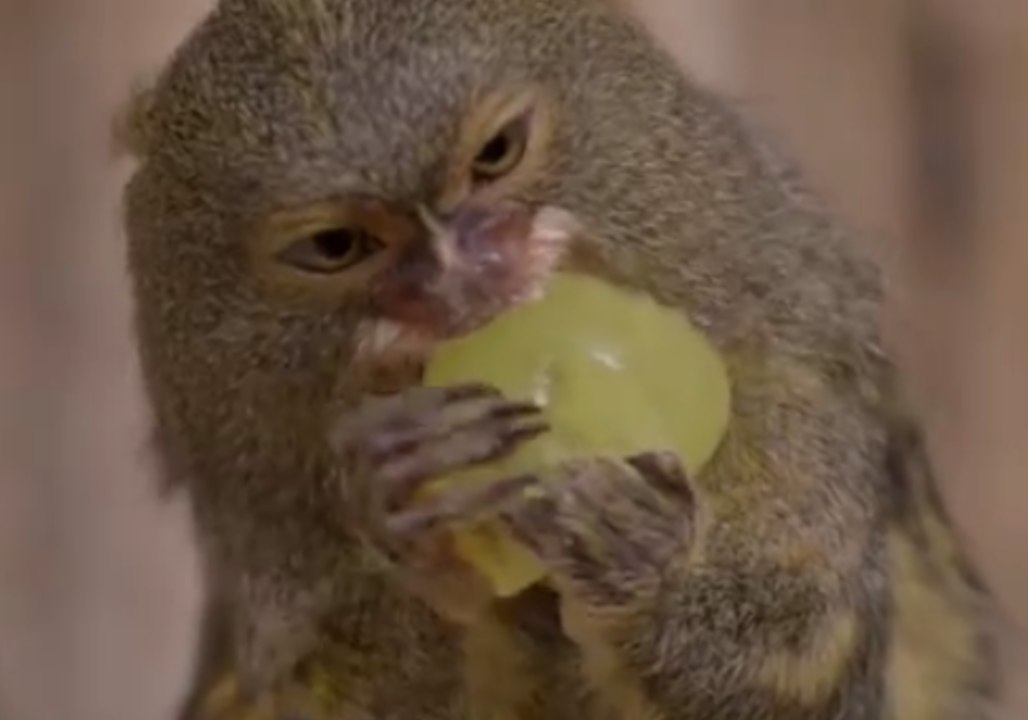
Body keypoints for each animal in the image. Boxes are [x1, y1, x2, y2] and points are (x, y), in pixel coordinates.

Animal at [118, 0, 998, 718]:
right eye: (337, 246)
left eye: (496, 154)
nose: (467, 280)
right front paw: (404, 515)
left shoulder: (795, 395)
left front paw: (646, 569)